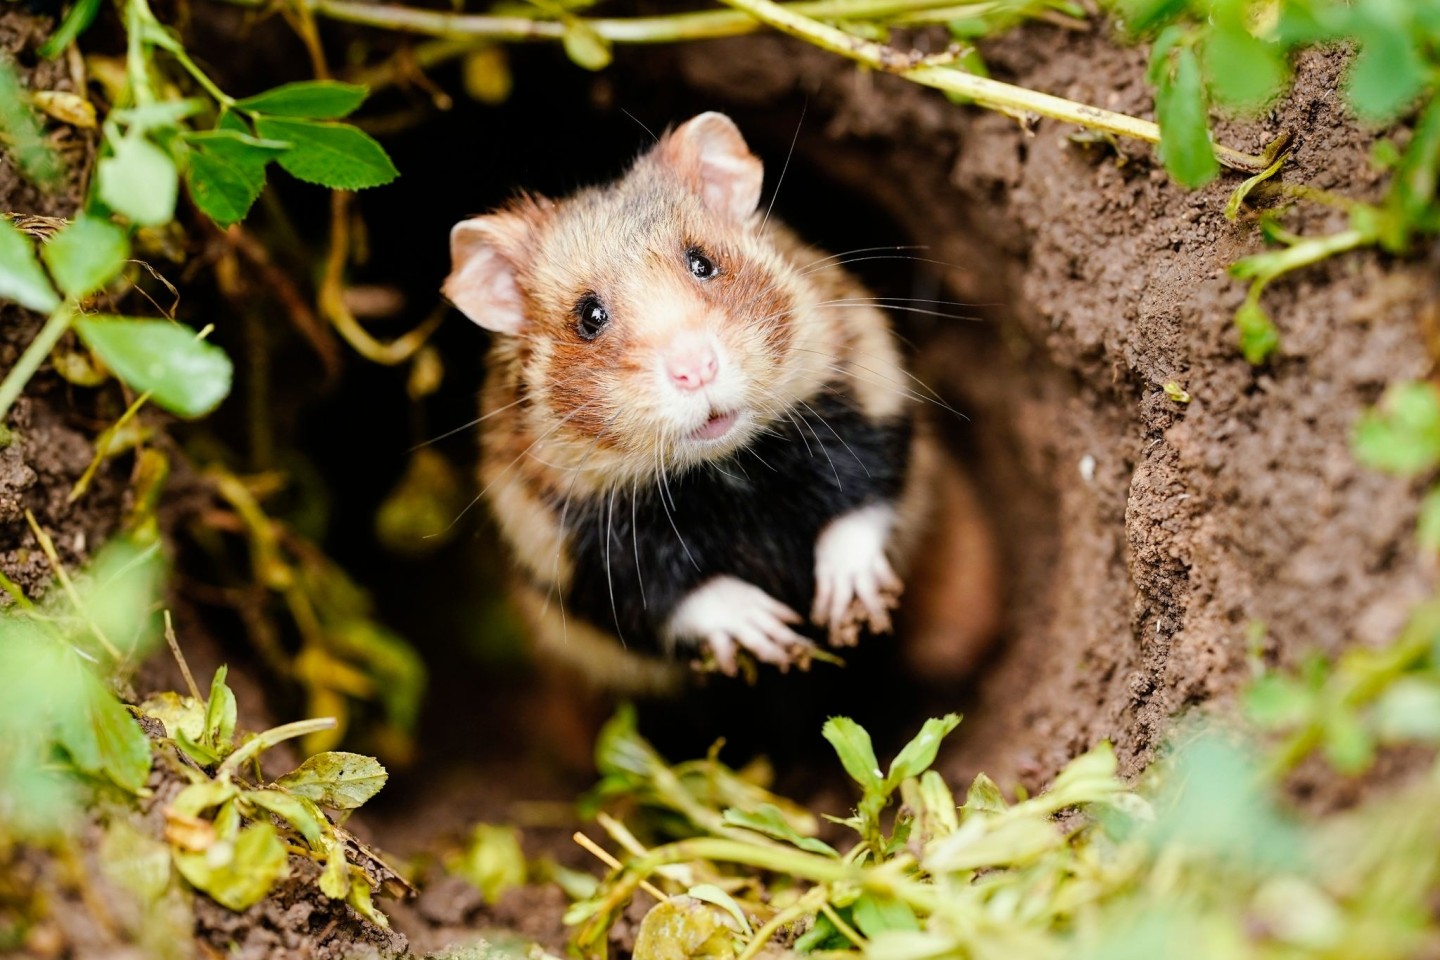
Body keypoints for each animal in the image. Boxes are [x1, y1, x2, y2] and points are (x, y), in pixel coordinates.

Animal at [437, 110, 979, 690]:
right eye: (589, 317)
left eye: (702, 263)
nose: (695, 369)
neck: (727, 470)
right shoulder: (563, 542)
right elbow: (666, 596)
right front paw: (772, 630)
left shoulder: (867, 384)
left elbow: (863, 496)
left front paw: (844, 603)